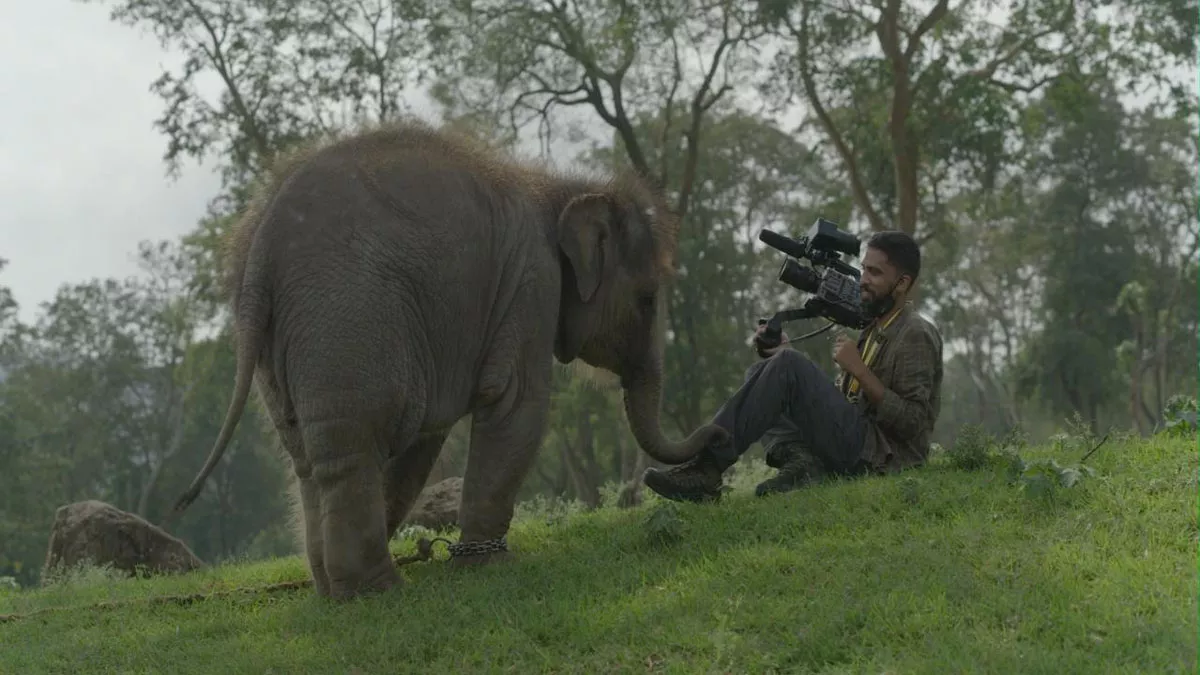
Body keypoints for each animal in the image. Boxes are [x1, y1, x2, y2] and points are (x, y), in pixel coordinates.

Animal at [158, 118, 720, 595]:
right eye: (648, 299)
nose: (713, 434)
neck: (557, 187)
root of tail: (260, 248)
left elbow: (424, 444)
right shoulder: (531, 283)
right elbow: (516, 405)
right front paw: (490, 567)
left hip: (280, 349)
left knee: (311, 456)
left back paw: (333, 591)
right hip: (349, 319)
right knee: (356, 441)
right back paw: (379, 592)